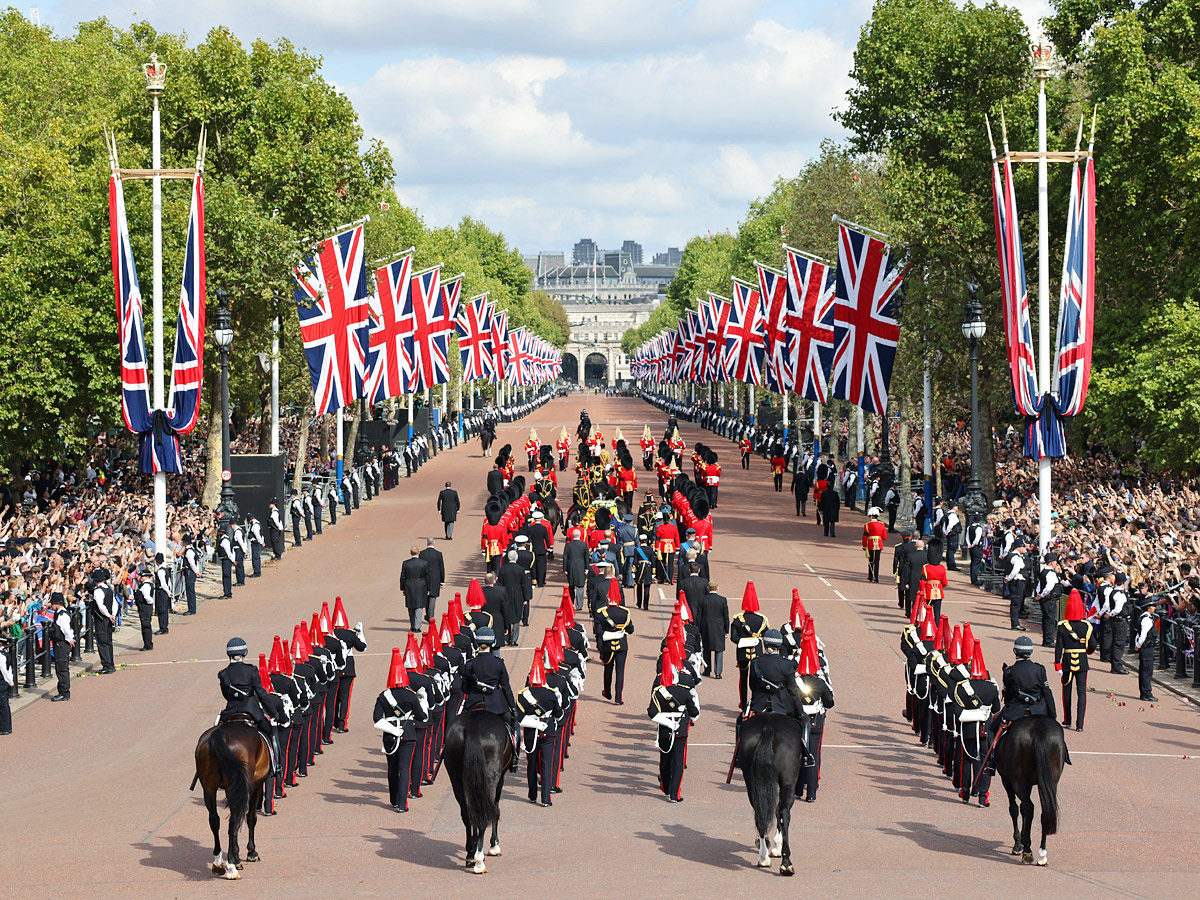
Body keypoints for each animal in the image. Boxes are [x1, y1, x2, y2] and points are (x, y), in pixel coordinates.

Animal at [190, 720, 271, 883]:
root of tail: (218, 735)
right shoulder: (256, 786)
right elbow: (251, 818)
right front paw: (250, 853)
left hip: (209, 788)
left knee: (214, 820)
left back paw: (218, 862)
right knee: (233, 822)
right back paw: (232, 867)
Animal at [444, 710, 513, 873]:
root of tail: (473, 725)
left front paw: (473, 847)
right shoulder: (500, 779)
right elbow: (496, 811)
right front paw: (494, 846)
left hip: (457, 781)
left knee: (467, 814)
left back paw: (471, 855)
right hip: (490, 780)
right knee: (485, 814)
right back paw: (479, 861)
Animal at [734, 715, 801, 878]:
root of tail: (768, 727)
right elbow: (779, 812)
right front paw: (777, 846)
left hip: (752, 782)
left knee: (760, 814)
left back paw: (763, 856)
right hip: (788, 782)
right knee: (783, 813)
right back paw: (786, 863)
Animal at [998, 720, 1065, 868]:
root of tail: (1039, 728)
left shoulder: (1007, 780)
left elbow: (1015, 809)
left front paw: (1019, 844)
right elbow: (1022, 809)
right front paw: (1022, 840)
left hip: (1016, 781)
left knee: (1029, 807)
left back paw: (1028, 852)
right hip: (1051, 781)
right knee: (1044, 811)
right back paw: (1042, 855)